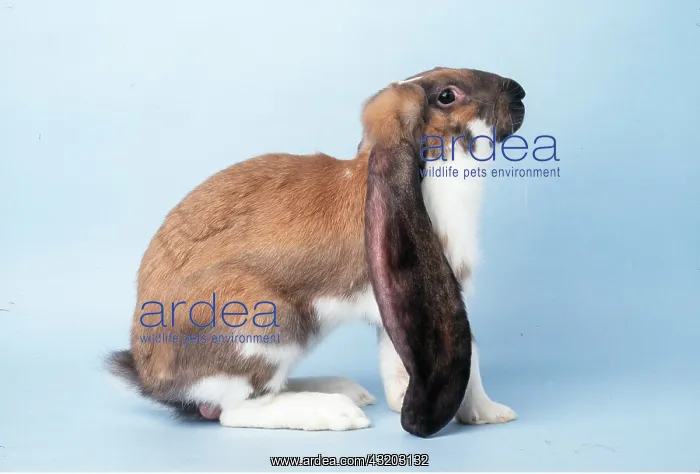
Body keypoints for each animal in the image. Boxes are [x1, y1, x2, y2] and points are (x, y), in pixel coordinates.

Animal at [107, 66, 526, 433]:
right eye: (447, 96)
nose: (519, 92)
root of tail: (152, 378)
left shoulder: (397, 306)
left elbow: (397, 359)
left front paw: (414, 403)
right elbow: (471, 362)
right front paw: (491, 414)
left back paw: (347, 391)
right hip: (265, 325)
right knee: (235, 410)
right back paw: (336, 411)